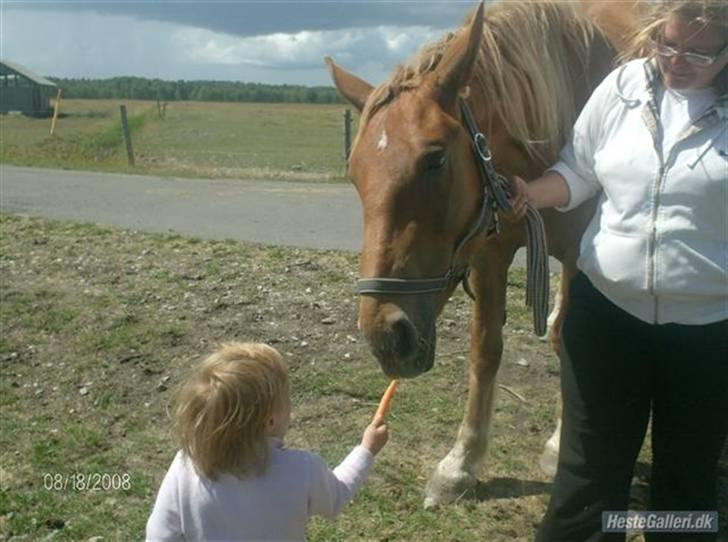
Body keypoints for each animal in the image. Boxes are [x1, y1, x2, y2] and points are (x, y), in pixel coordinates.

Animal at [328, 0, 624, 510]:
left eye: (435, 160)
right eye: (354, 173)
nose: (385, 336)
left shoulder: (580, 256)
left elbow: (567, 340)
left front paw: (558, 445)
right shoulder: (489, 252)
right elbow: (484, 350)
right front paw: (460, 465)